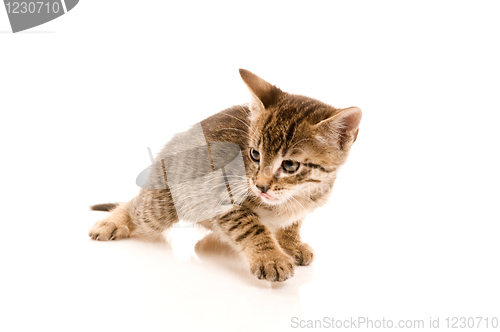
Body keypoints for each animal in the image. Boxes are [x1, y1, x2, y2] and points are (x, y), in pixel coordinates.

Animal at [90, 70, 362, 282]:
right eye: (254, 154)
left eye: (290, 165)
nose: (260, 186)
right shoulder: (223, 196)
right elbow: (251, 226)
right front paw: (270, 256)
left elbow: (291, 223)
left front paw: (290, 242)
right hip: (165, 203)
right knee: (137, 206)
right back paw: (112, 221)